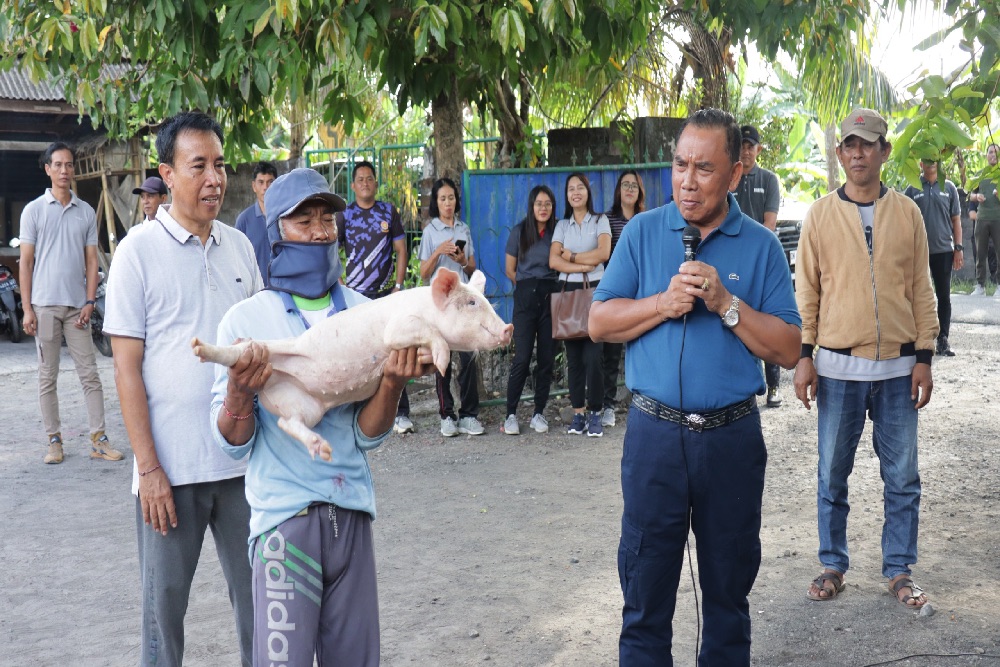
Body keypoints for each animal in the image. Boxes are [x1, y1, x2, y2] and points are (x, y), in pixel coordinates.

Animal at [191, 268, 512, 462]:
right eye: (471, 303)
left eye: (486, 301)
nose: (509, 328)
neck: (427, 309)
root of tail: (273, 380)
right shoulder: (399, 327)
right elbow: (427, 334)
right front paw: (444, 363)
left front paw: (440, 365)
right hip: (269, 350)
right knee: (240, 352)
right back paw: (201, 346)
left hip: (306, 407)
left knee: (287, 422)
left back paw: (323, 450)